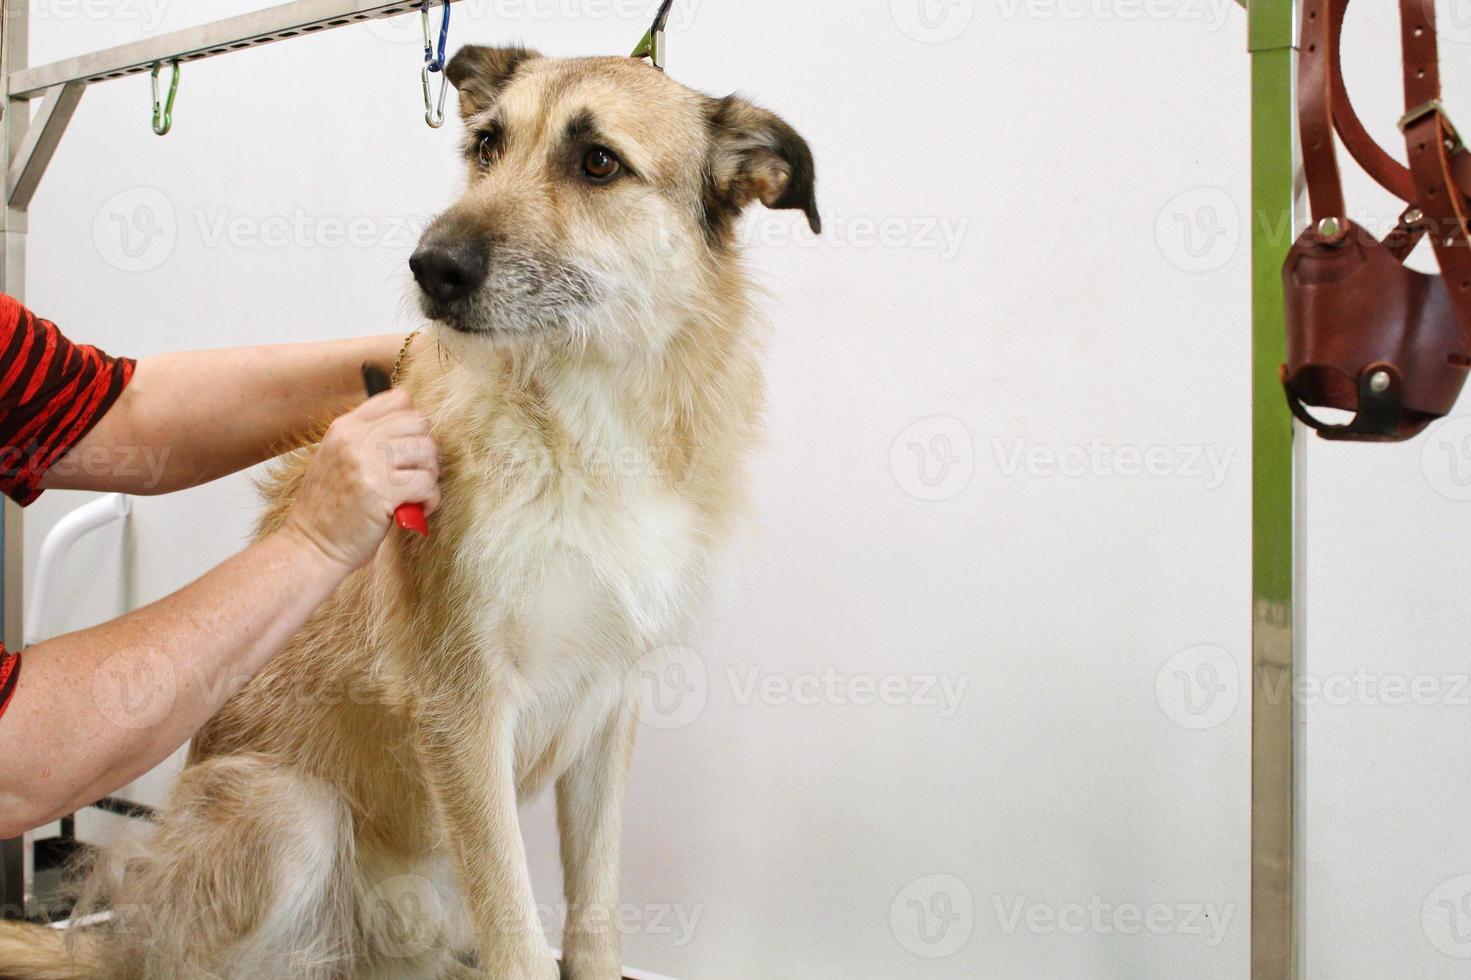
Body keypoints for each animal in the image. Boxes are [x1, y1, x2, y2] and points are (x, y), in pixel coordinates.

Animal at [0, 41, 817, 971]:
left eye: (598, 162)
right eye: (486, 145)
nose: (433, 267)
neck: (586, 422)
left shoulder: (609, 711)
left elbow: (594, 915)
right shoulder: (461, 707)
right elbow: (516, 932)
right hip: (288, 814)